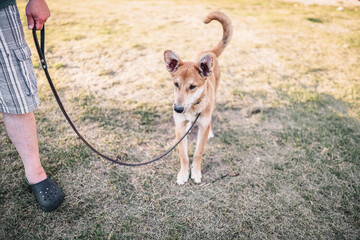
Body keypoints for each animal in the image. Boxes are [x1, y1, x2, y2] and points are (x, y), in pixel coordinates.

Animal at [164, 11, 233, 185]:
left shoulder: (202, 126)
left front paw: (195, 172)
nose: (178, 109)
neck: (192, 107)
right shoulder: (179, 126)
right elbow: (183, 155)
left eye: (192, 86)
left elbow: (197, 153)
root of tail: (209, 51)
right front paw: (183, 174)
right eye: (176, 84)